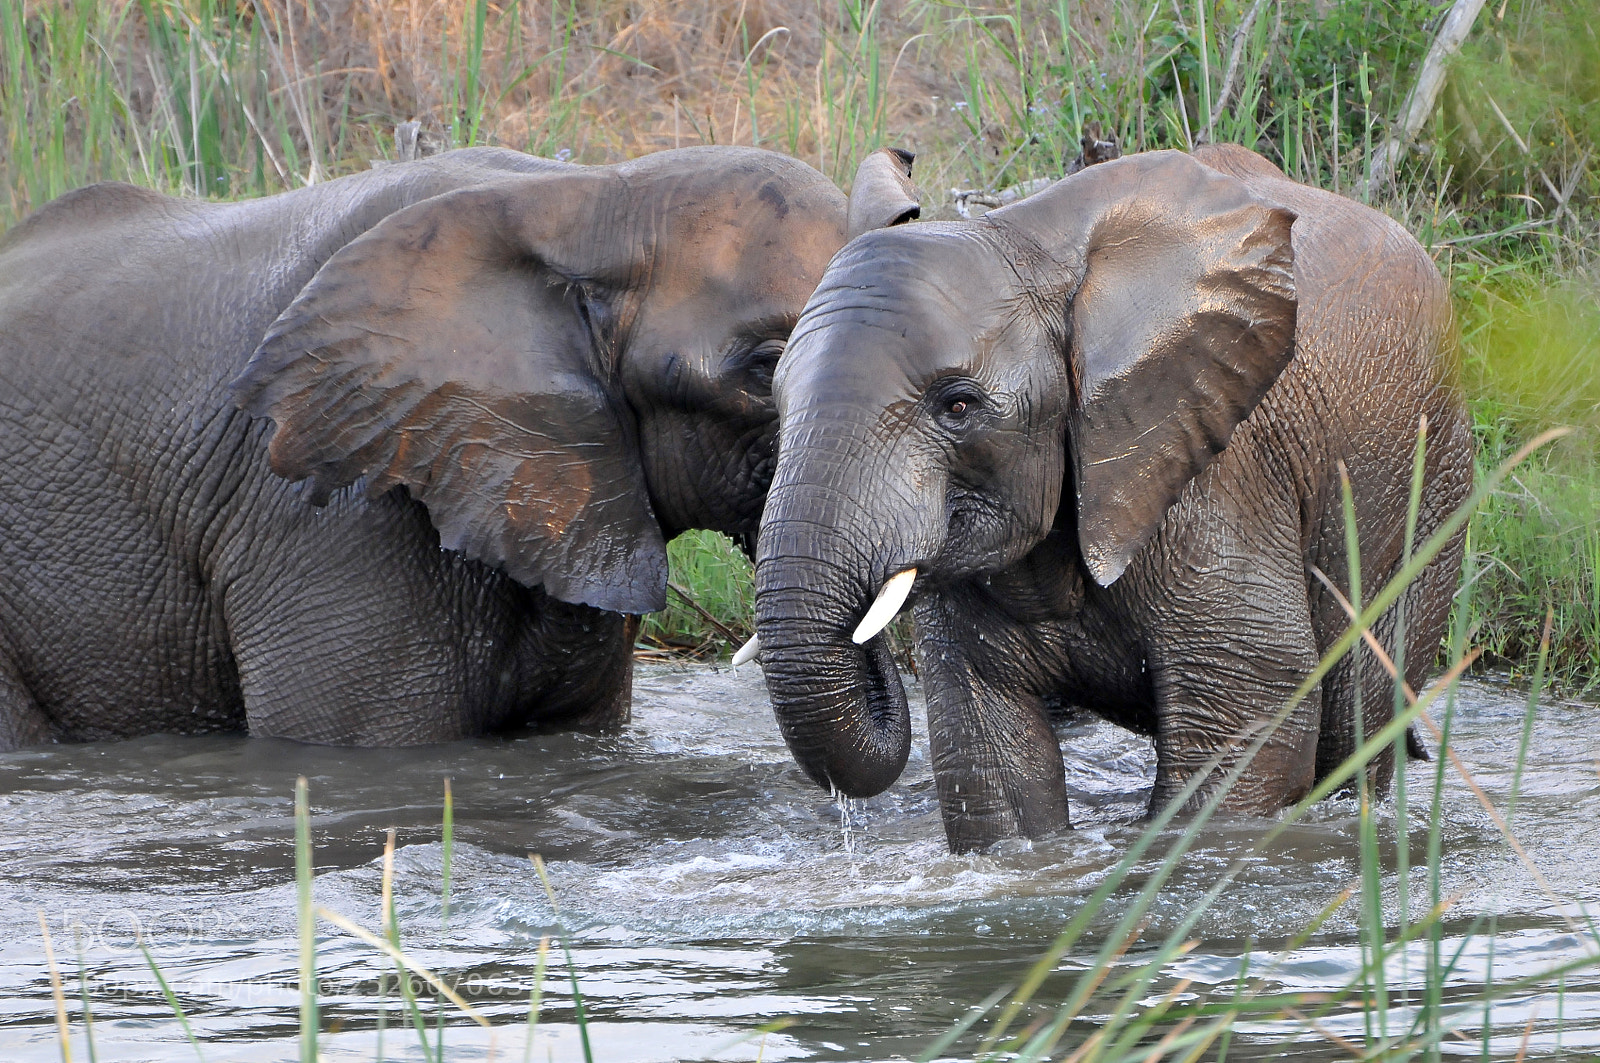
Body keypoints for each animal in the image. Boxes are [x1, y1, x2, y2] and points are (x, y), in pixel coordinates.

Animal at [748, 143, 1473, 851]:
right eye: (775, 399)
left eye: (958, 405)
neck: (1022, 239)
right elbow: (986, 758)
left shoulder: (1210, 471)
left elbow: (1250, 718)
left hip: (1431, 481)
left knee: (1356, 722)